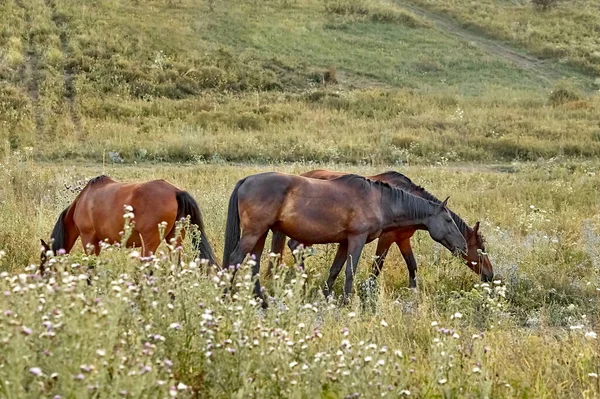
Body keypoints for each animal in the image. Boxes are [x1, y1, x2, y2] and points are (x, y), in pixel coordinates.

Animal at [39, 175, 218, 272]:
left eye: (44, 261)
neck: (83, 201)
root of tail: (175, 191)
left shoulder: (88, 239)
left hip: (150, 243)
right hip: (174, 240)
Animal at [223, 172, 466, 306]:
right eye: (448, 220)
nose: (463, 245)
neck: (379, 200)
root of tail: (246, 180)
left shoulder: (344, 241)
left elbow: (335, 270)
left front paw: (325, 296)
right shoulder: (356, 239)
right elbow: (350, 270)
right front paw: (348, 301)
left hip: (261, 234)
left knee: (254, 265)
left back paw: (260, 299)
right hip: (254, 232)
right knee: (235, 260)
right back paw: (226, 295)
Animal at [270, 169, 494, 288]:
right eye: (481, 249)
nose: (490, 276)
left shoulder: (403, 239)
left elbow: (412, 265)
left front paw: (413, 291)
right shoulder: (386, 238)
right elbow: (377, 266)